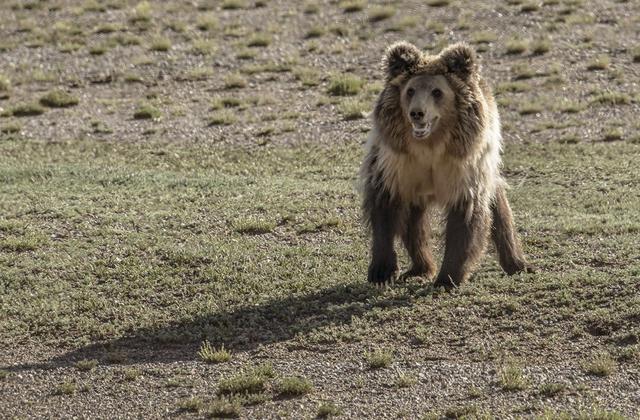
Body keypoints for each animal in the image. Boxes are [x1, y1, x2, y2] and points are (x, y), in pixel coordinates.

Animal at [362, 40, 532, 288]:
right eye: (410, 90)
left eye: (437, 91)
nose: (417, 113)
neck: (430, 145)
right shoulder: (395, 164)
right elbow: (385, 208)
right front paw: (382, 272)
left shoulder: (463, 168)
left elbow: (465, 217)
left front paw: (448, 277)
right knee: (414, 222)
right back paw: (420, 268)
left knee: (498, 205)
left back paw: (517, 263)